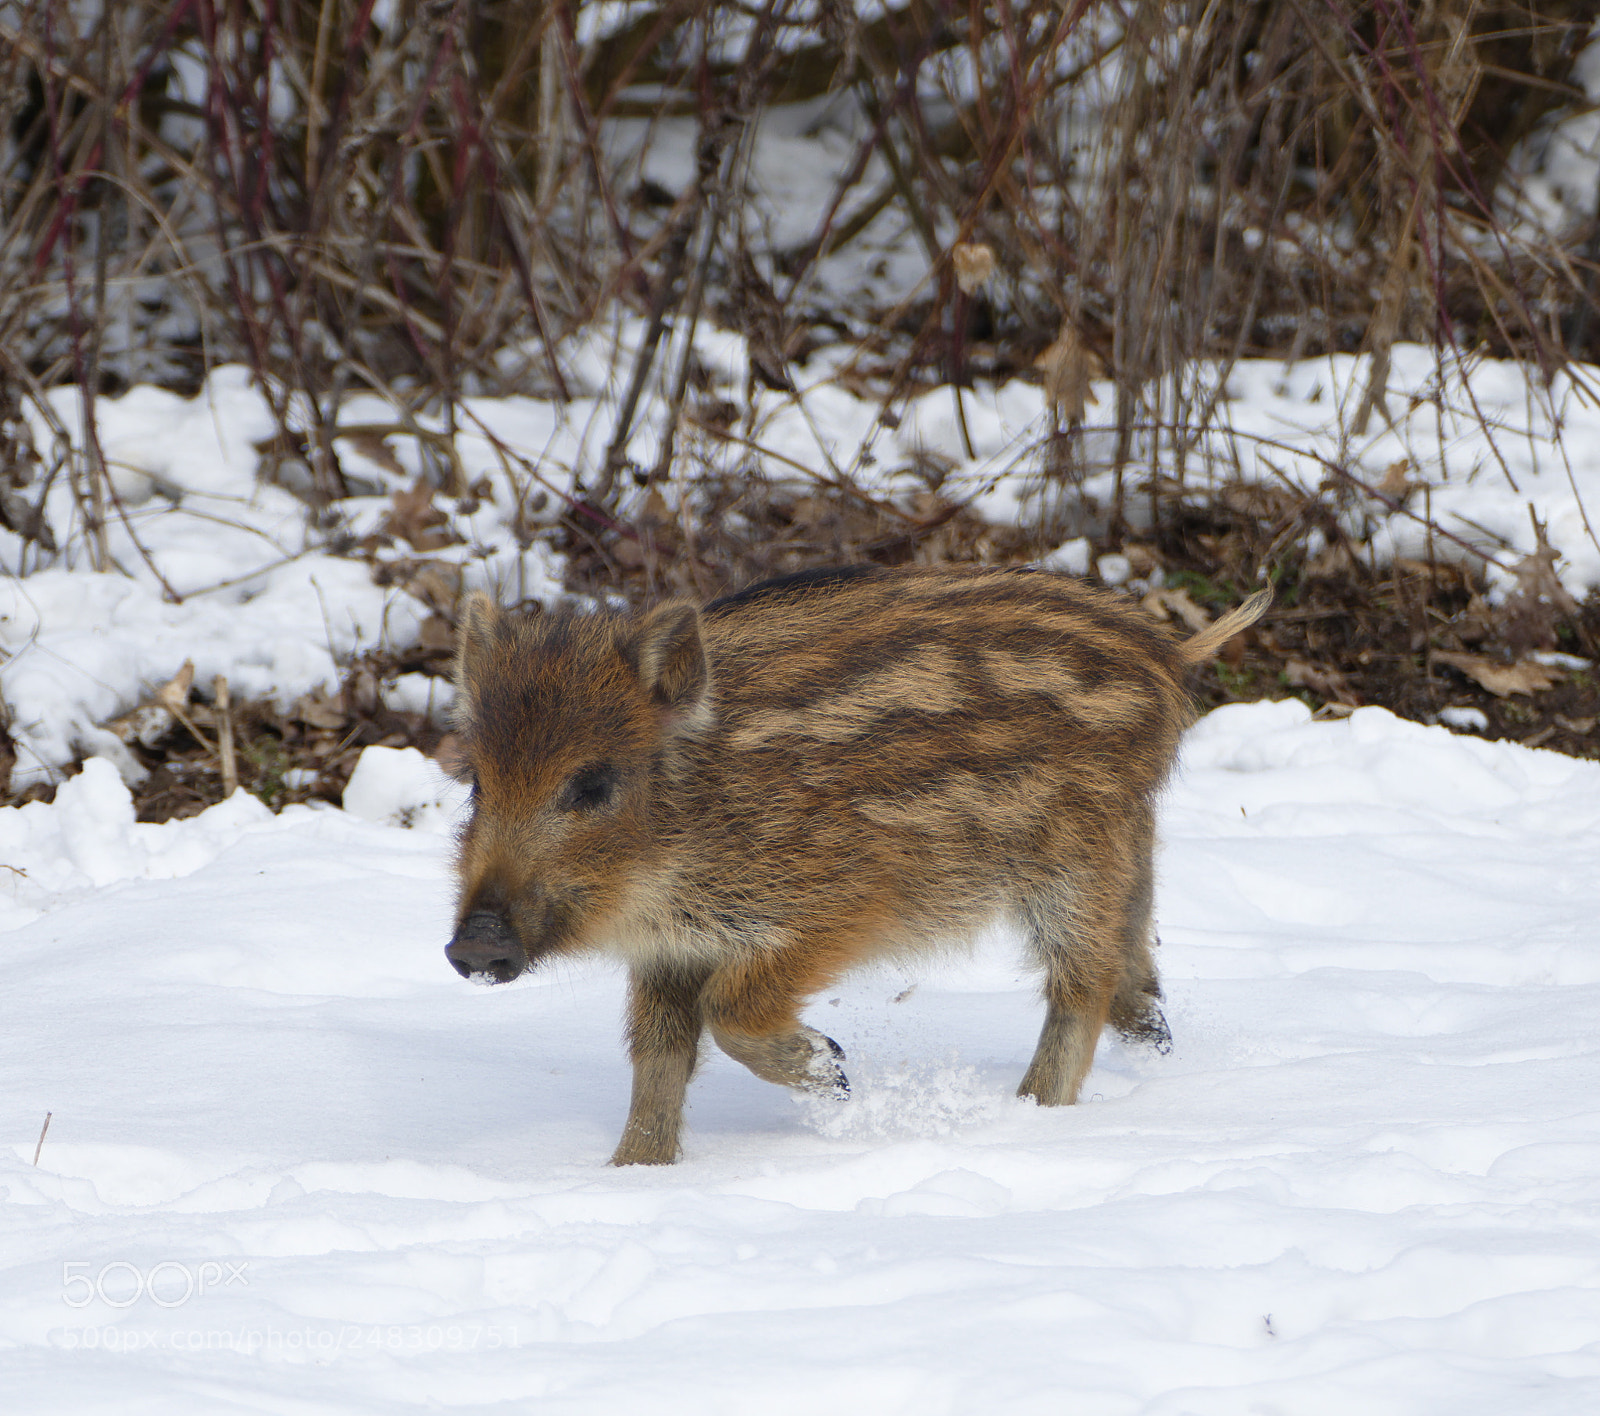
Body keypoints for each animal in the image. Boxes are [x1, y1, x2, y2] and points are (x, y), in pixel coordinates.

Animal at [445, 564, 1270, 1164]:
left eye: (592, 784)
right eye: (478, 782)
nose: (474, 946)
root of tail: (1167, 653)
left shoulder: (844, 900)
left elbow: (730, 1011)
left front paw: (837, 1075)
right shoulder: (669, 954)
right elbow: (658, 1060)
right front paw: (632, 1175)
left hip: (1078, 857)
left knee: (1081, 983)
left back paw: (1030, 1113)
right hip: (1124, 851)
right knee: (1134, 972)